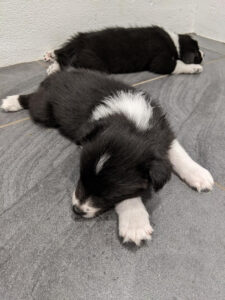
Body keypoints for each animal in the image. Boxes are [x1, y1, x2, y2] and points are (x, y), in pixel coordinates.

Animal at [0, 69, 214, 246]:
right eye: (81, 177)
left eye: (109, 194)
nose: (77, 210)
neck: (133, 121)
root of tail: (55, 76)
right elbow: (130, 197)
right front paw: (135, 222)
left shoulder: (163, 132)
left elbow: (178, 152)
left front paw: (199, 174)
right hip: (43, 110)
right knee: (32, 99)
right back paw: (11, 102)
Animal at [44, 25, 204, 76]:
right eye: (197, 54)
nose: (203, 54)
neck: (176, 43)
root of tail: (78, 44)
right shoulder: (160, 61)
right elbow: (178, 64)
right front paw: (195, 68)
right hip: (93, 62)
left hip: (75, 41)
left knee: (61, 53)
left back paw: (50, 57)